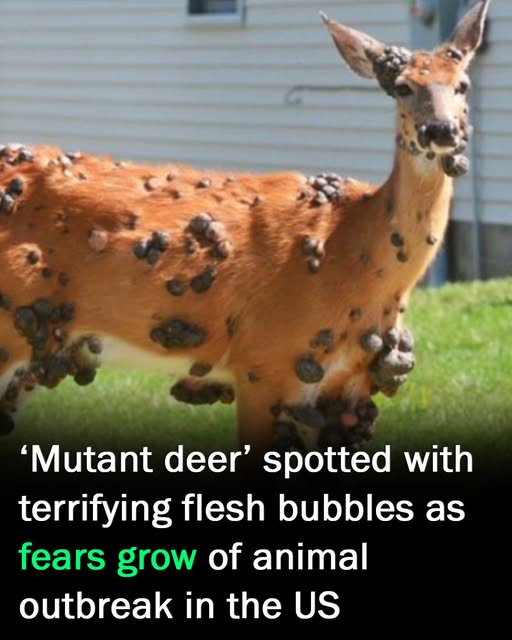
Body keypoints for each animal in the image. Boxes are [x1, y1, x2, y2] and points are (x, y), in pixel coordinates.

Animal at [0, 1, 489, 457]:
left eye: (462, 84)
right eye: (403, 86)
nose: (441, 130)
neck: (353, 252)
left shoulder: (348, 387)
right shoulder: (262, 363)